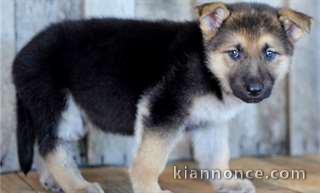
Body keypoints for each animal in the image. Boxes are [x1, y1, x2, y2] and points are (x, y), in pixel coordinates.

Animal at [13, 1, 312, 193]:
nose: (254, 89)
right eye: (235, 53)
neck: (206, 66)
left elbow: (216, 155)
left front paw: (226, 182)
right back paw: (77, 186)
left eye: (269, 53)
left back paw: (54, 181)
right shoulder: (162, 112)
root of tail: (21, 55)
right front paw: (149, 188)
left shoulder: (211, 123)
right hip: (63, 108)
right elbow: (149, 160)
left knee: (48, 144)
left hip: (73, 115)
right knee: (51, 146)